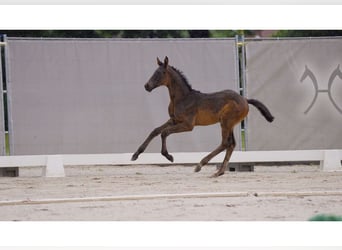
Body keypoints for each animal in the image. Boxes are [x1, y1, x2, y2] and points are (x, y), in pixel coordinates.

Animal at [130, 56, 274, 178]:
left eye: (161, 73)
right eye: (154, 72)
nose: (147, 86)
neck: (182, 98)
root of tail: (245, 99)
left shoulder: (188, 125)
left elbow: (164, 133)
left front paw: (169, 156)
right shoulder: (174, 120)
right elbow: (155, 131)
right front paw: (135, 155)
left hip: (226, 122)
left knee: (225, 143)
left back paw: (200, 165)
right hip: (230, 124)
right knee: (231, 144)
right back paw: (219, 172)